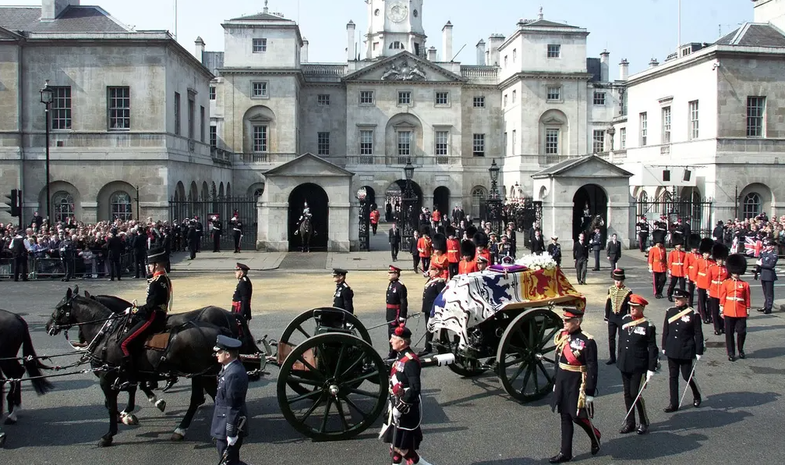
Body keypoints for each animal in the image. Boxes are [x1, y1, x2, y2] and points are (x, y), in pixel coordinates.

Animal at [46, 290, 258, 446]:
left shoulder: (109, 376)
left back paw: (187, 429)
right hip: (201, 373)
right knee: (208, 397)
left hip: (202, 374)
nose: (48, 326)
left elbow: (112, 404)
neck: (109, 333)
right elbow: (129, 392)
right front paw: (131, 412)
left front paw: (112, 430)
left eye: (58, 308)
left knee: (204, 398)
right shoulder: (132, 372)